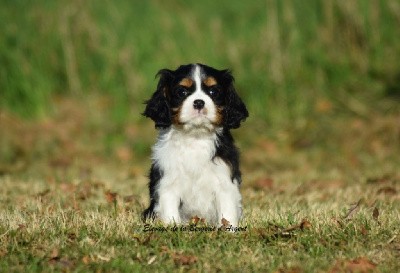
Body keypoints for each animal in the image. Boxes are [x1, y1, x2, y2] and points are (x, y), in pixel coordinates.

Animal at [142, 63, 248, 225]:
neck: (196, 137)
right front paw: (172, 227)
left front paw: (228, 229)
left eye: (213, 91)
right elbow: (170, 211)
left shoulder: (224, 181)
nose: (199, 102)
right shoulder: (168, 182)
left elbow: (227, 213)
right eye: (182, 92)